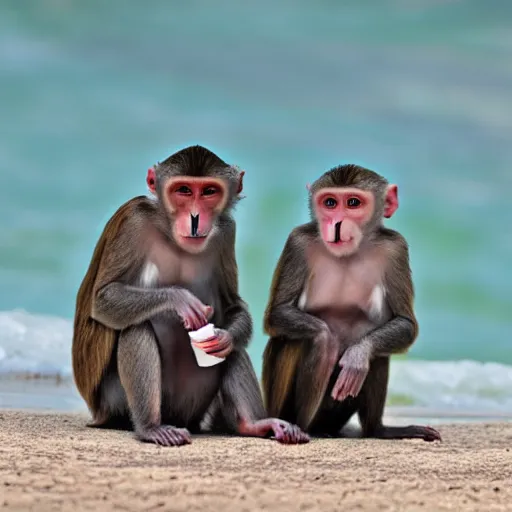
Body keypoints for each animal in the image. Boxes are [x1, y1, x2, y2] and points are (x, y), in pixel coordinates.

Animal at [72, 143, 308, 444]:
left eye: (208, 191)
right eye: (183, 190)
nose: (195, 218)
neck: (167, 229)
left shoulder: (227, 230)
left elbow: (232, 307)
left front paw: (224, 338)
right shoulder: (133, 220)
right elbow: (103, 298)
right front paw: (179, 300)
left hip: (196, 405)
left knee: (232, 350)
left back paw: (253, 424)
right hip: (115, 403)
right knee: (136, 326)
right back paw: (151, 427)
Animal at [262, 164, 442, 440]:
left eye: (353, 203)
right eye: (330, 203)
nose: (336, 223)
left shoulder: (396, 247)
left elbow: (405, 324)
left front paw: (357, 355)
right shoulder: (297, 242)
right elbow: (278, 315)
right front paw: (327, 340)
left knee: (377, 349)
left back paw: (378, 429)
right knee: (298, 340)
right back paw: (296, 426)